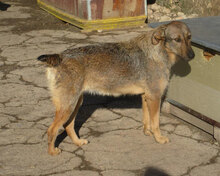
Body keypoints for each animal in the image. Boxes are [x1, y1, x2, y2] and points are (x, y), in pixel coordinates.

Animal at [37, 21, 194, 155]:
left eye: (189, 37)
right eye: (177, 39)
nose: (192, 55)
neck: (158, 52)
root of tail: (60, 56)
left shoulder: (146, 97)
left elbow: (147, 121)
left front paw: (147, 133)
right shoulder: (155, 98)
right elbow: (156, 123)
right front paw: (159, 139)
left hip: (76, 104)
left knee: (68, 126)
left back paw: (78, 142)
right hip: (68, 106)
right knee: (51, 130)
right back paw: (52, 152)